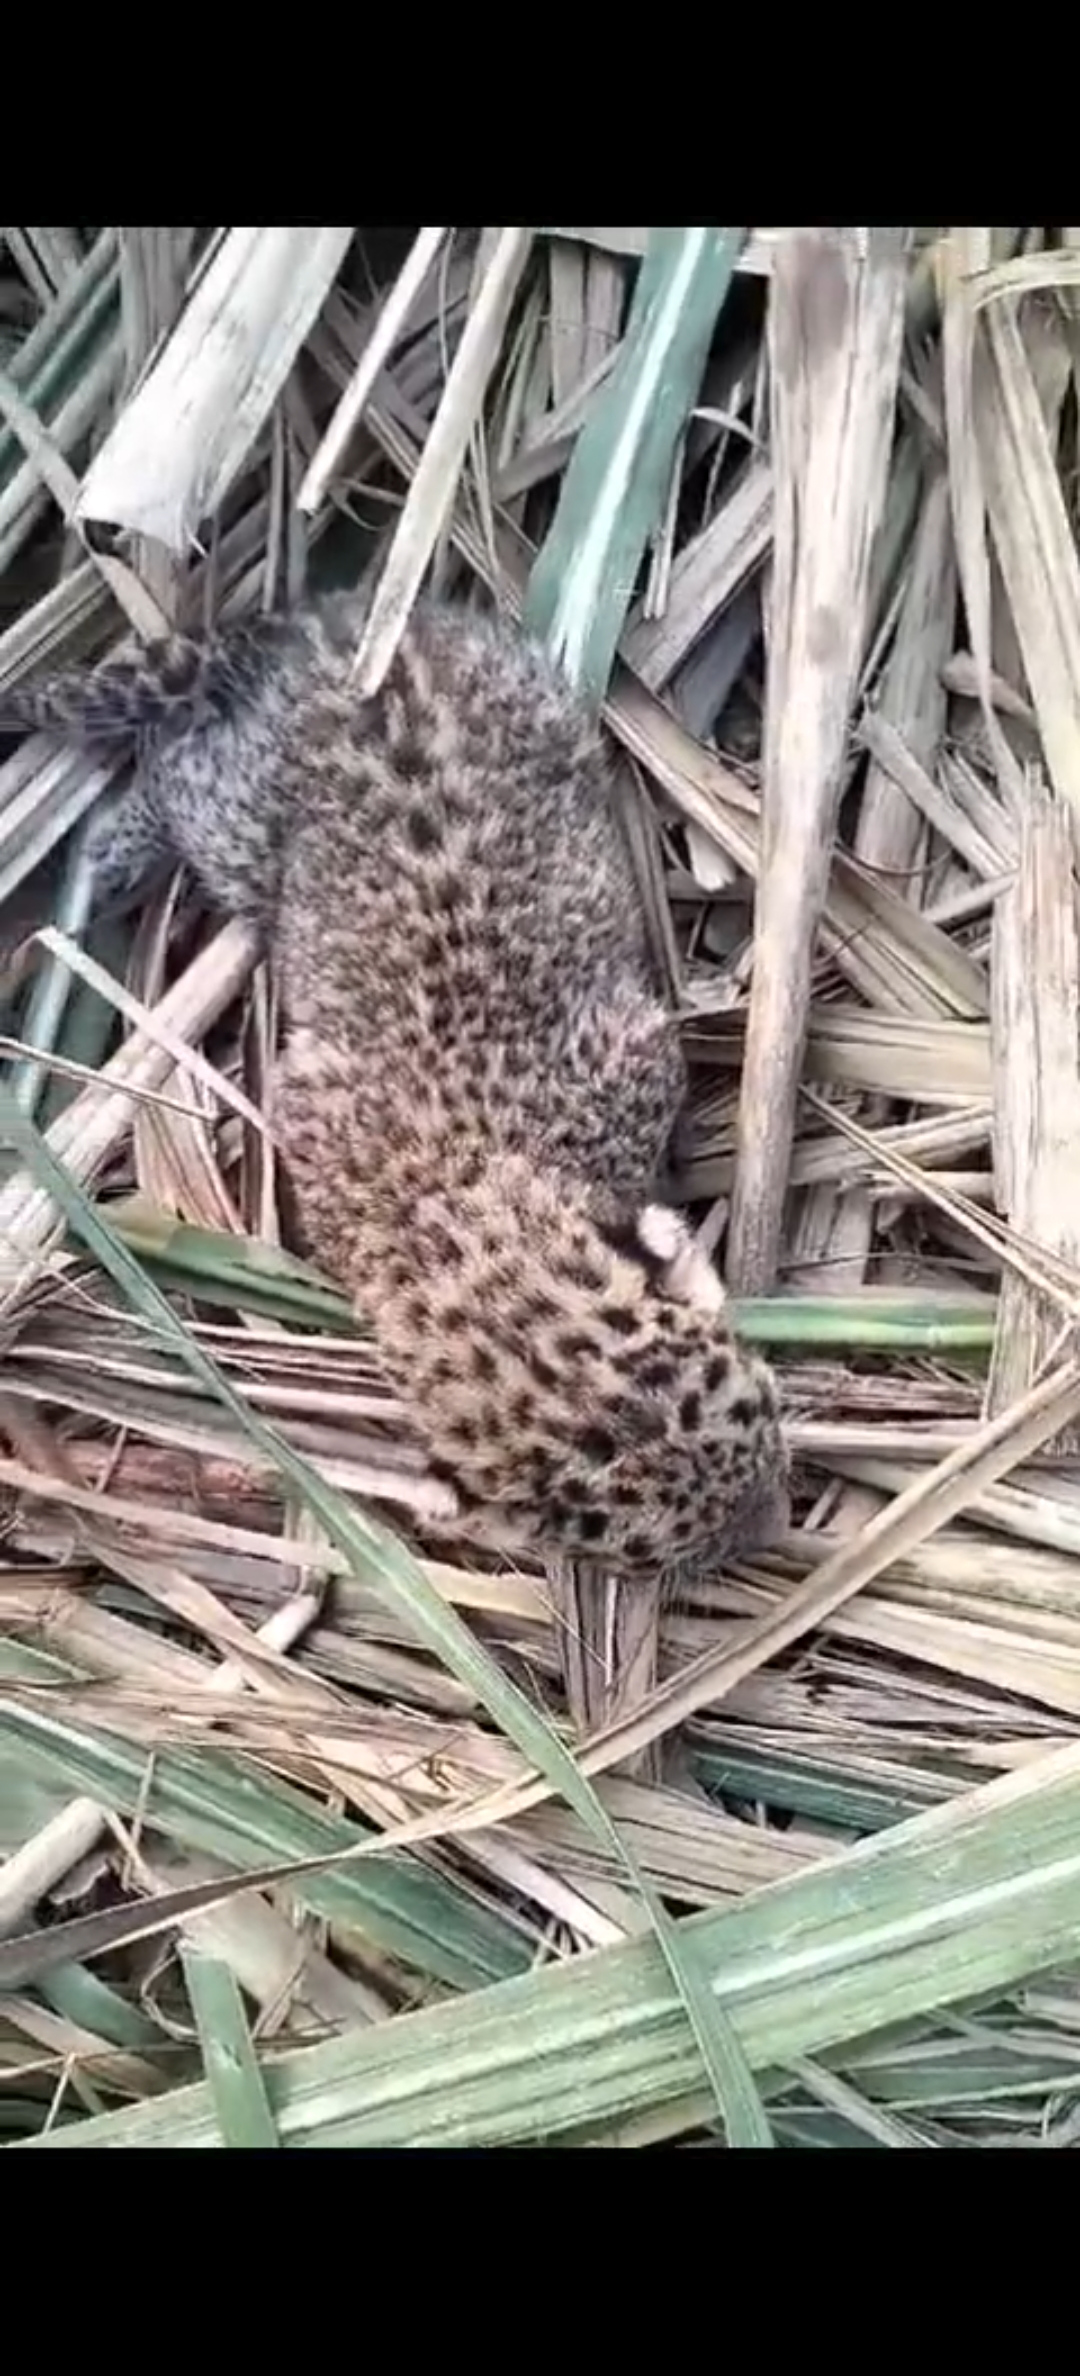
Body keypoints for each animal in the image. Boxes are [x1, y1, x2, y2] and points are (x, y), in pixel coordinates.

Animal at [3, 588, 790, 1581]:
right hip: (244, 815)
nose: (773, 1520)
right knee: (176, 761)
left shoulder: (630, 1058)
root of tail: (322, 633)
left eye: (748, 1399)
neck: (459, 1198)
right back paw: (117, 842)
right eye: (644, 1552)